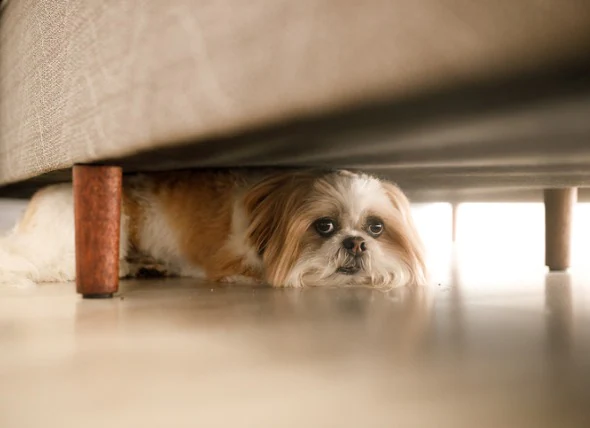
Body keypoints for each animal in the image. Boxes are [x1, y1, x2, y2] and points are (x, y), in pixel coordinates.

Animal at [0, 170, 428, 288]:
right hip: (105, 227)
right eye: (325, 226)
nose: (355, 244)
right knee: (53, 267)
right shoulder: (235, 262)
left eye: (375, 227)